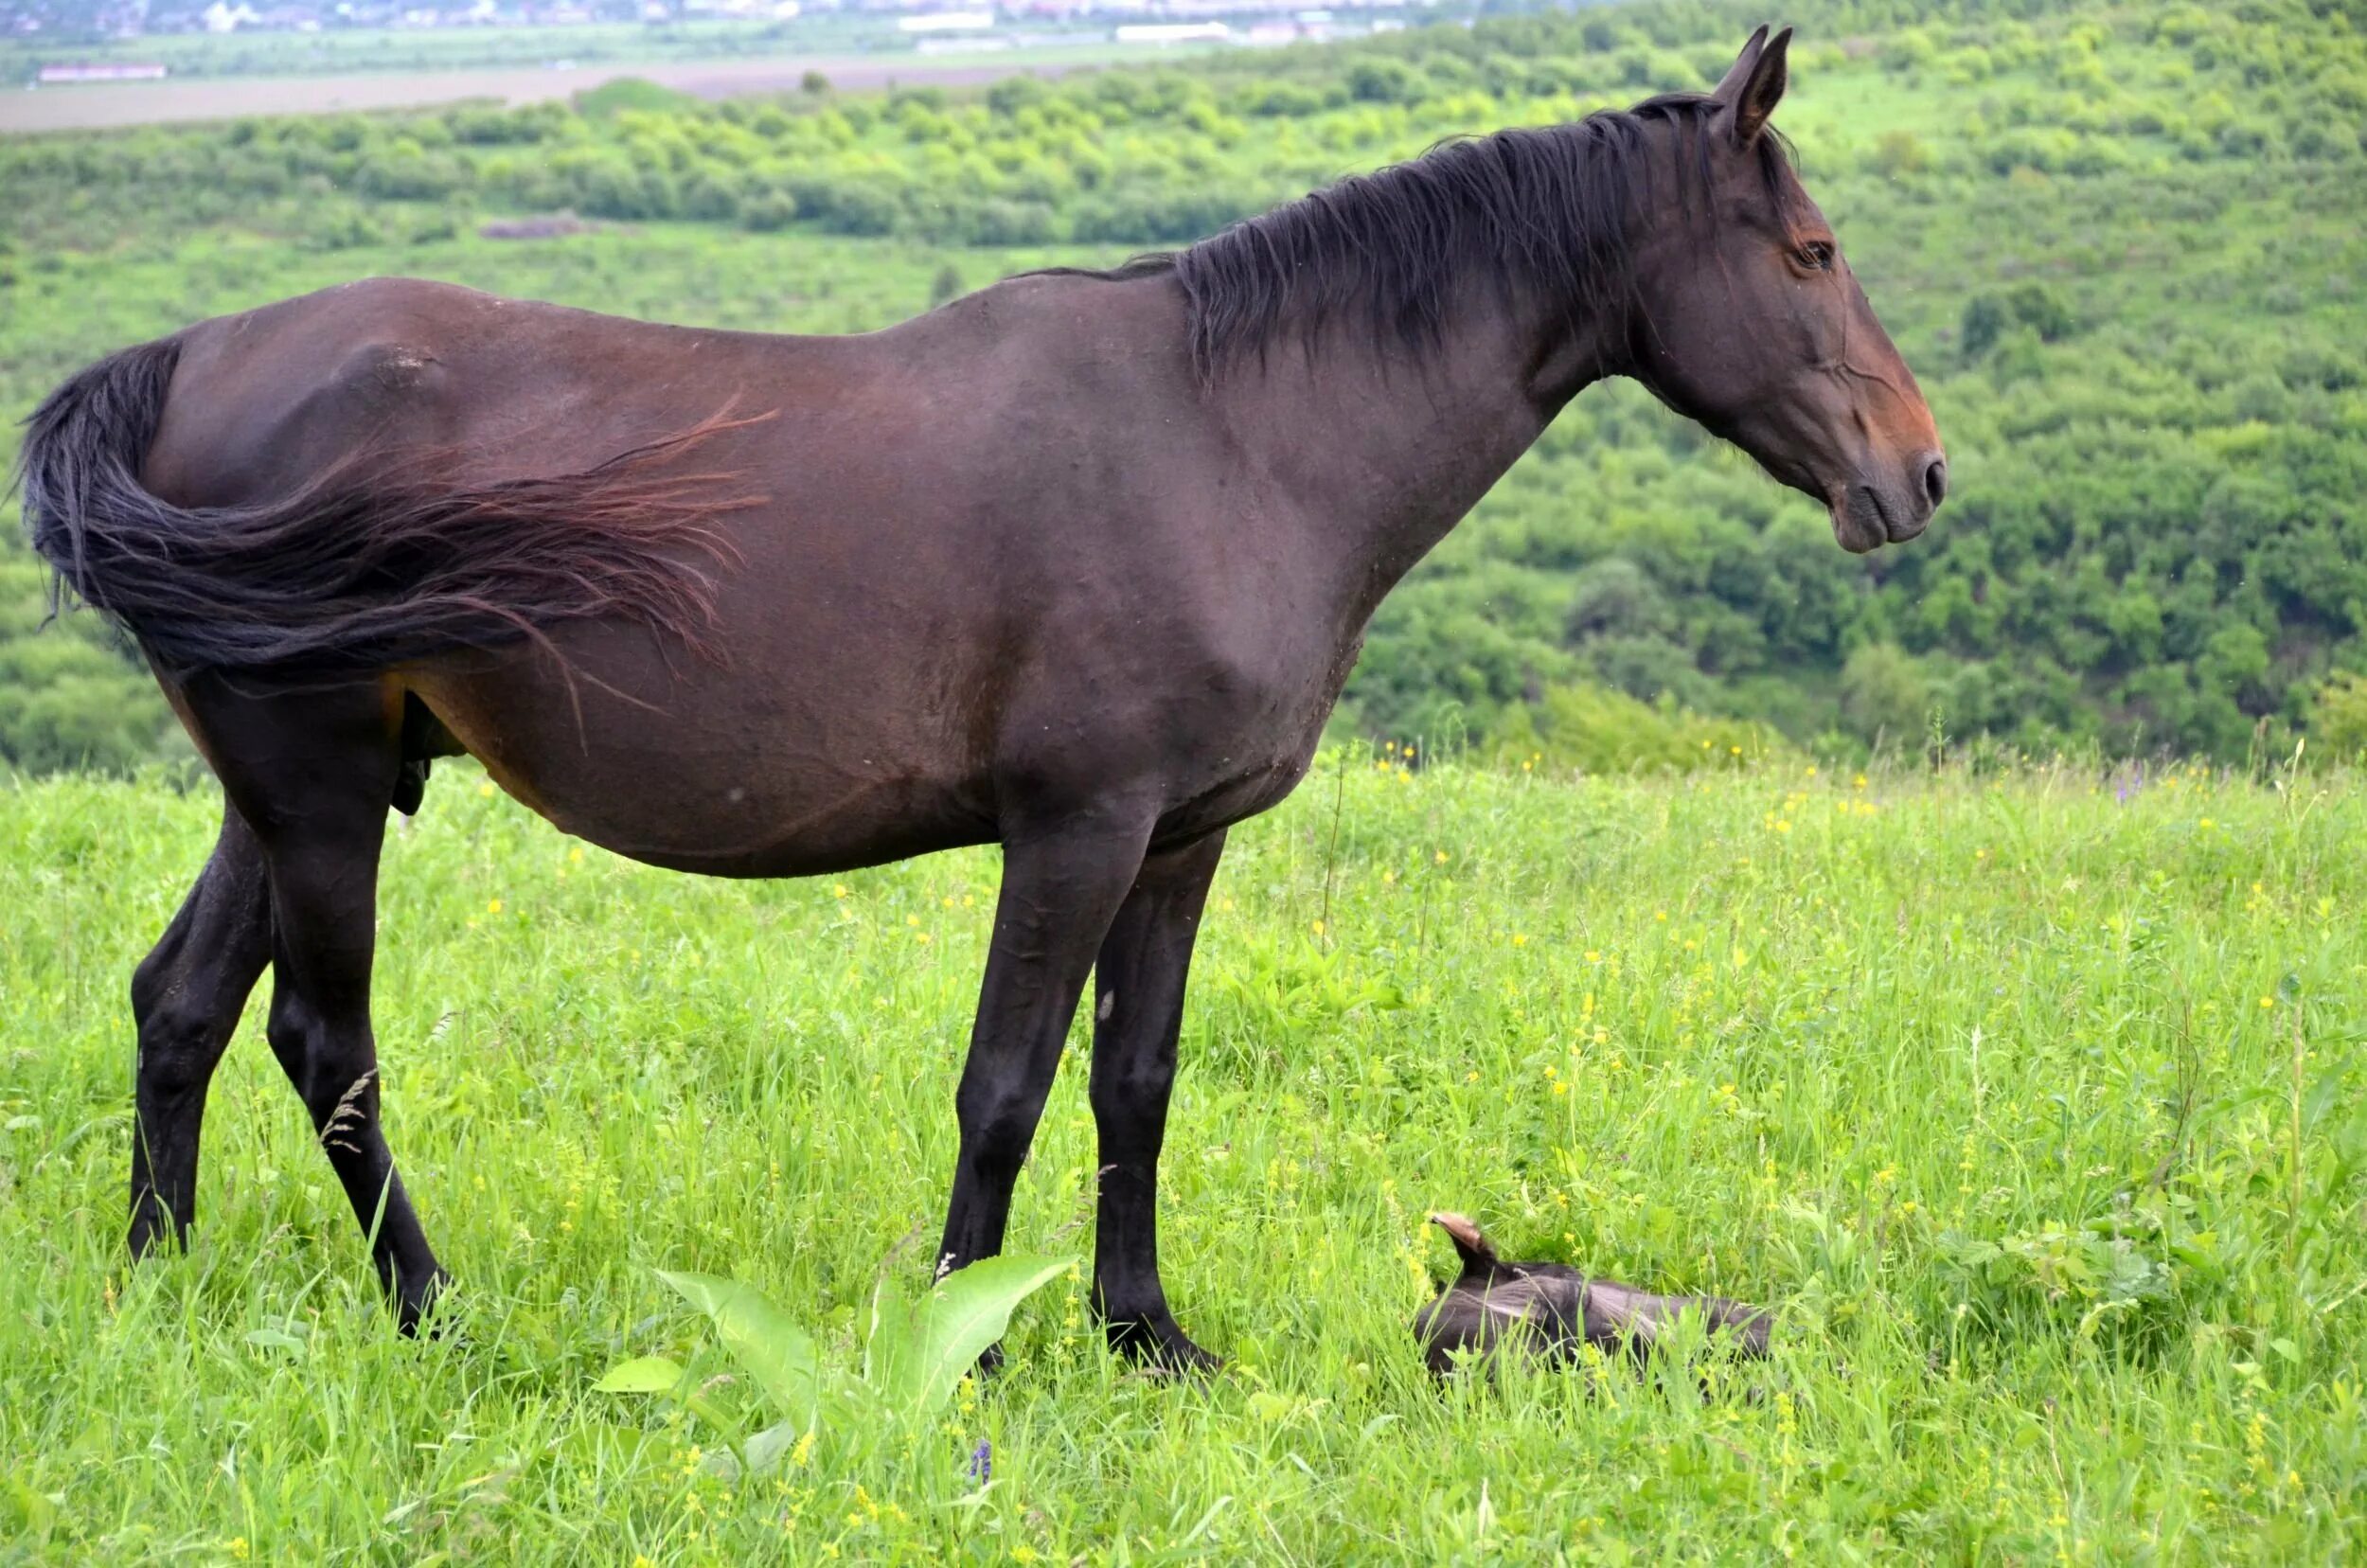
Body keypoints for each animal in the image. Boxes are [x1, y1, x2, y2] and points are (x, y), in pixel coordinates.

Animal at [18, 27, 1941, 1373]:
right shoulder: (1072, 830)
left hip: (292, 789)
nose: (1917, 478)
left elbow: (1134, 1082)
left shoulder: (1177, 841)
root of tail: (186, 359)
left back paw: (157, 1286)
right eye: (1811, 251)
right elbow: (1005, 1083)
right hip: (324, 791)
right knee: (321, 1041)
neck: (1234, 436)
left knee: (182, 1005)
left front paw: (1145, 1334)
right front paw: (976, 1330)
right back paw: (432, 1307)